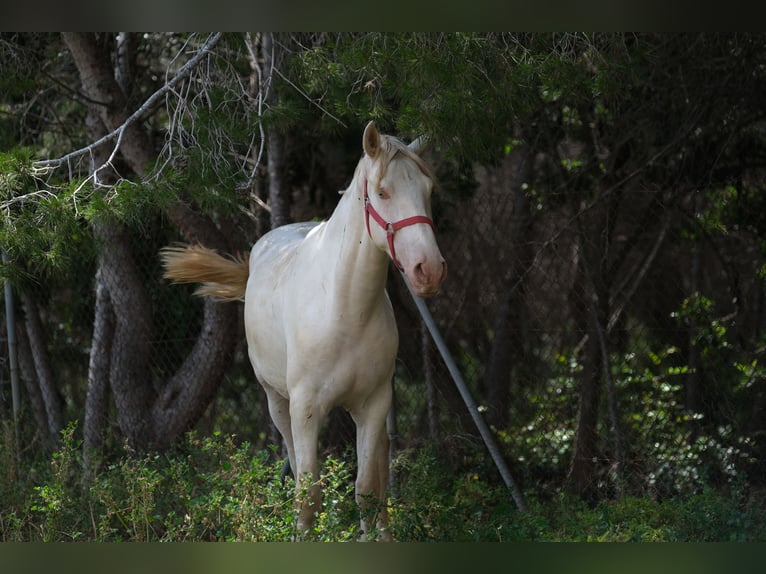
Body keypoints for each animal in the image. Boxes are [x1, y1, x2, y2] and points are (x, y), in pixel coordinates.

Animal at [162, 121, 450, 540]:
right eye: (382, 192)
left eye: (428, 191)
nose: (428, 270)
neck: (344, 310)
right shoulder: (305, 409)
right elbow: (308, 492)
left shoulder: (374, 404)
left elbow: (367, 488)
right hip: (277, 403)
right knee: (297, 466)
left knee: (379, 471)